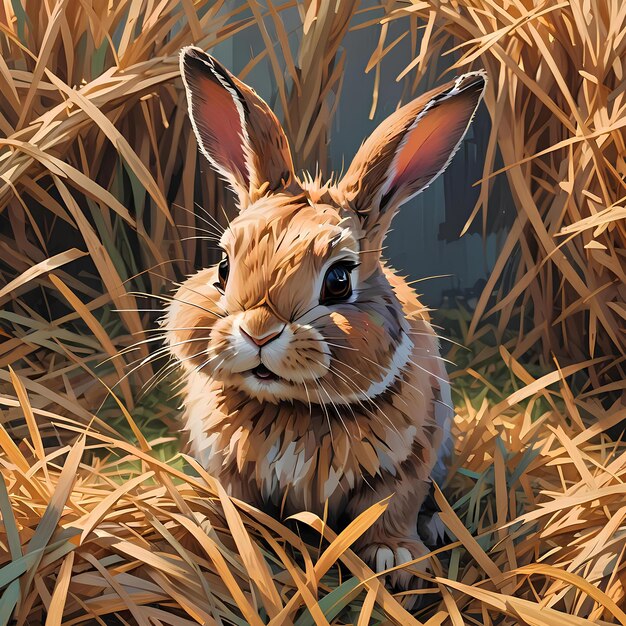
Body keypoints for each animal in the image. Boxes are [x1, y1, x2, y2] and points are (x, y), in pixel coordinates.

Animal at [165, 46, 482, 592]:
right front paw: (220, 539)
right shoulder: (228, 470)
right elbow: (238, 509)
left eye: (338, 280)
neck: (292, 408)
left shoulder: (405, 465)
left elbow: (390, 509)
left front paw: (395, 559)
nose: (258, 332)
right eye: (223, 267)